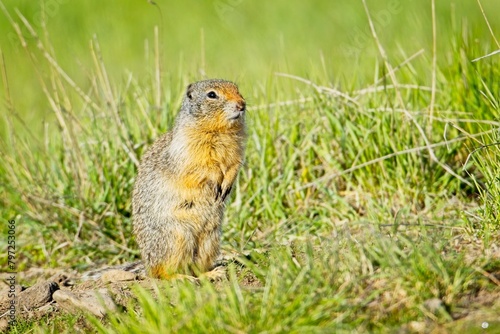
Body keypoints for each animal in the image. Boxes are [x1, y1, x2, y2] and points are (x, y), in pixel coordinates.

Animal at [133, 79, 246, 280]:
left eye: (237, 89)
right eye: (212, 95)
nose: (242, 105)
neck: (220, 131)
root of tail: (146, 265)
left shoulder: (237, 151)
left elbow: (234, 166)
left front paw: (226, 186)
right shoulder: (190, 149)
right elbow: (204, 167)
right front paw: (216, 181)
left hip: (209, 239)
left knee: (196, 268)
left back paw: (212, 273)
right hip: (177, 238)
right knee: (162, 273)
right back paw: (181, 278)